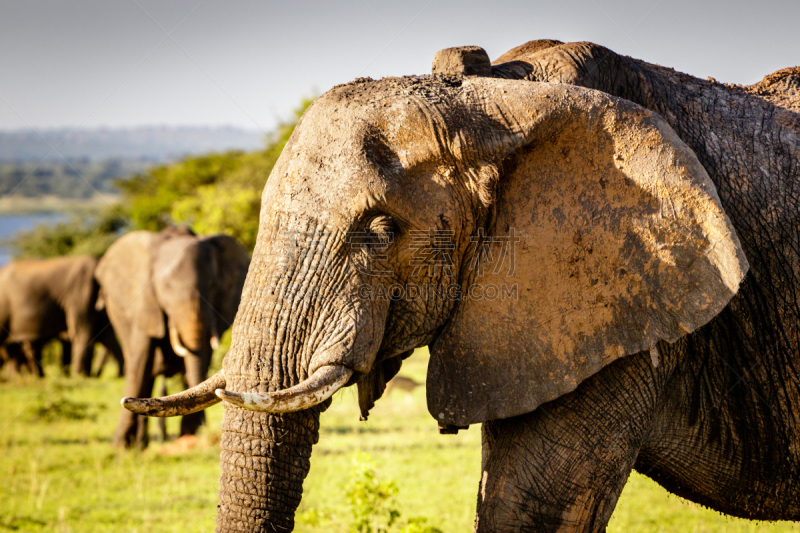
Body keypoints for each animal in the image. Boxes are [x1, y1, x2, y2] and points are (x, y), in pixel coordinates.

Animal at [98, 225, 252, 448]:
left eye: (213, 286)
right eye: (166, 289)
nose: (201, 433)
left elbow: (201, 357)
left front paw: (190, 434)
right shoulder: (144, 304)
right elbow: (140, 361)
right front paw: (121, 447)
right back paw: (136, 445)